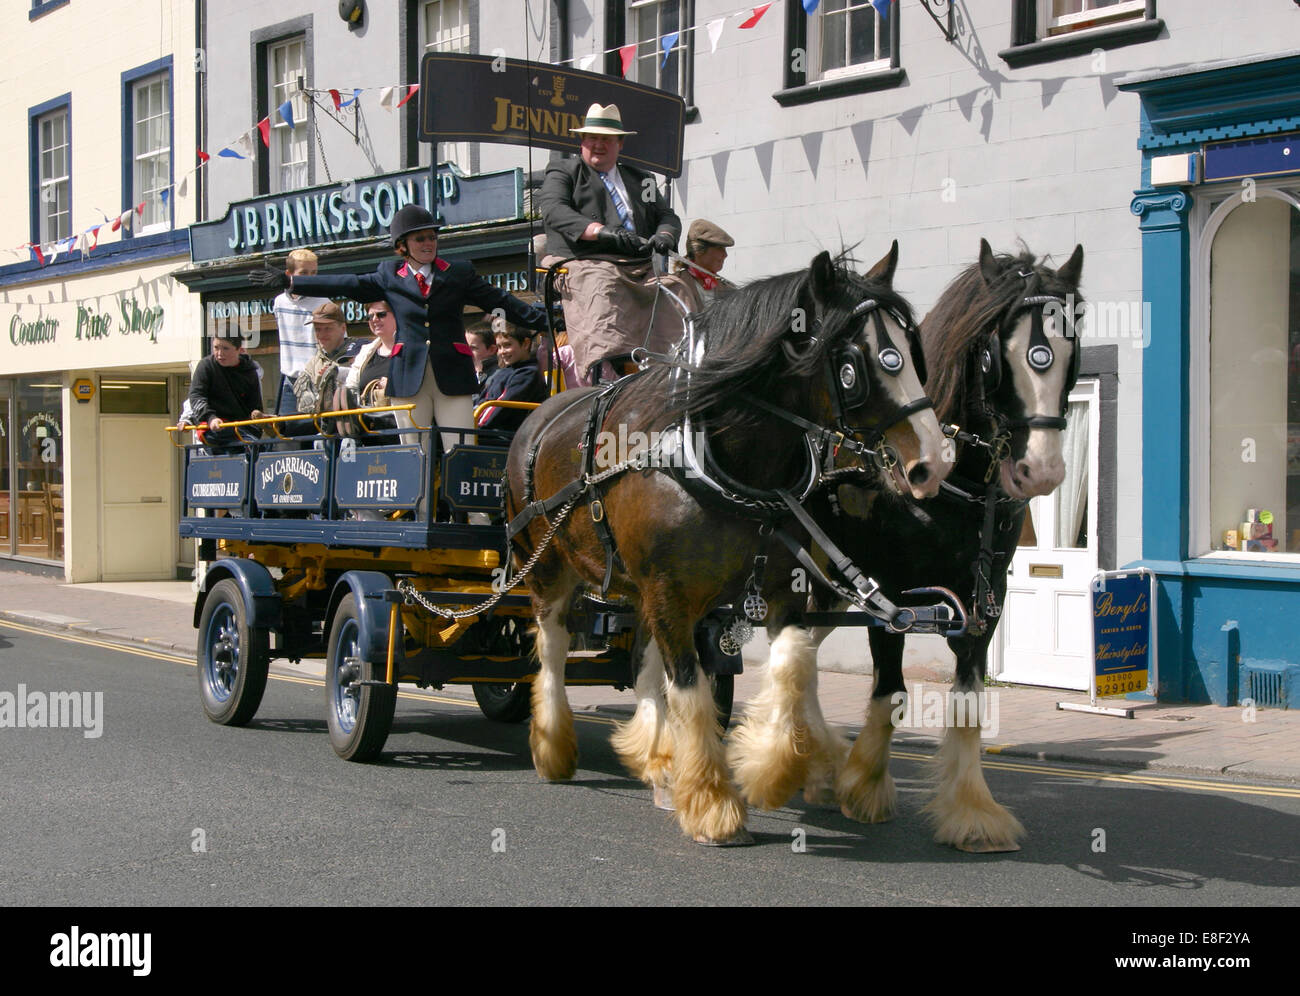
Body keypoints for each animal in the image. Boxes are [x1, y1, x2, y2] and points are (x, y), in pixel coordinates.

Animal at [501, 245, 951, 847]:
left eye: (910, 352)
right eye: (854, 364)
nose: (933, 462)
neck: (723, 459)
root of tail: (539, 418)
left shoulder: (781, 589)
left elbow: (790, 669)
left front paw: (771, 769)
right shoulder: (670, 593)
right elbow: (691, 688)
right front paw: (713, 805)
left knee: (643, 664)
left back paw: (658, 761)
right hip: (548, 564)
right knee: (550, 644)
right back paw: (554, 747)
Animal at [733, 239, 1086, 852]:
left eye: (1072, 350)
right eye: (998, 354)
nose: (1039, 472)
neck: (953, 488)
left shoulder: (984, 599)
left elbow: (968, 701)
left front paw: (972, 811)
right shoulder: (893, 594)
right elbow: (892, 691)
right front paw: (865, 787)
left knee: (803, 654)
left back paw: (817, 763)